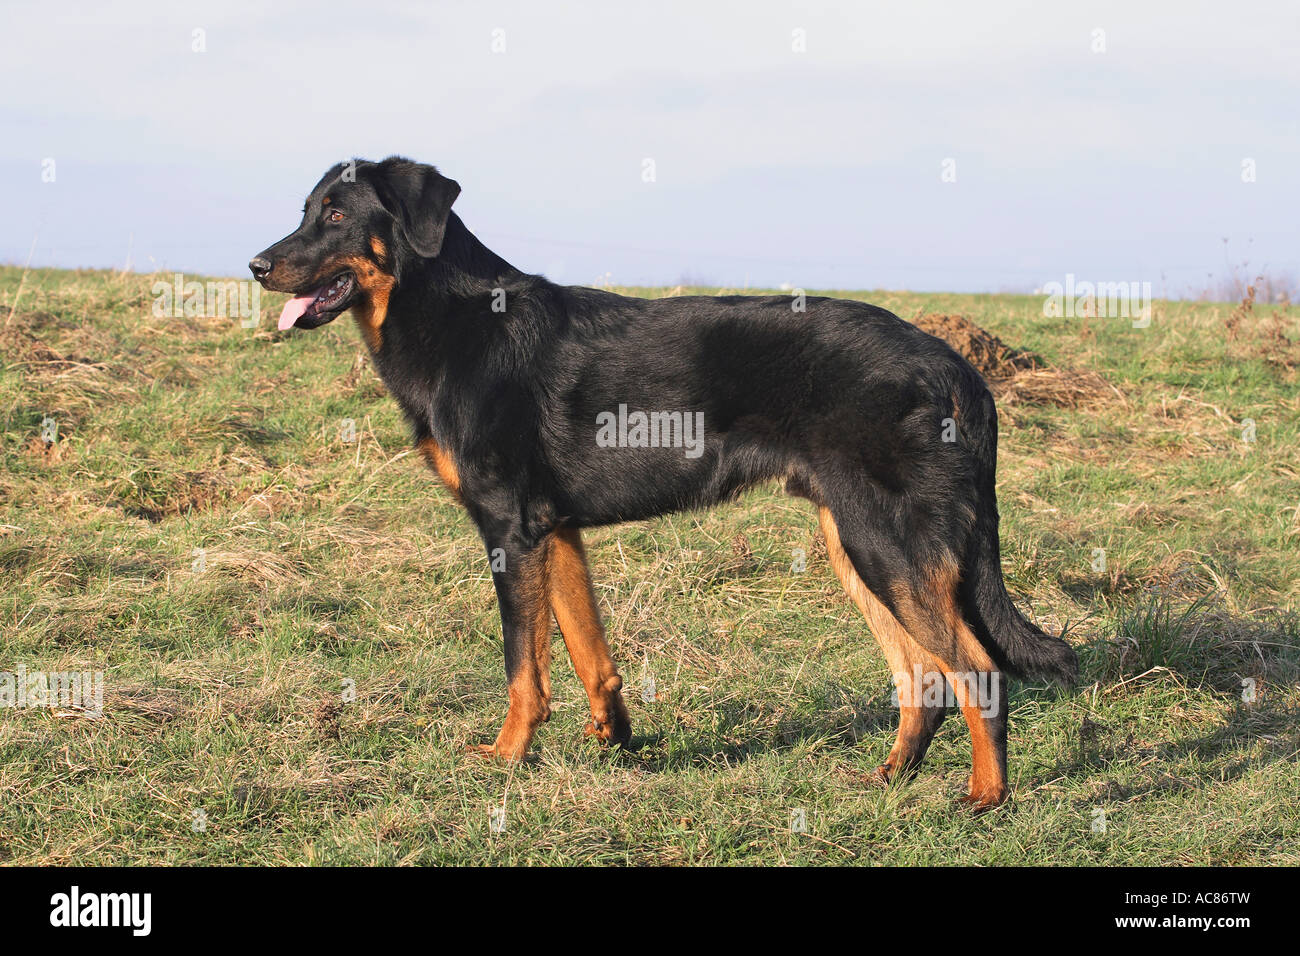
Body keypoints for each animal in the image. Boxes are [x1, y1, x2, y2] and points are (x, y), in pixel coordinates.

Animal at [245, 155, 1076, 806]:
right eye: (304, 211)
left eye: (337, 215)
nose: (255, 266)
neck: (452, 317)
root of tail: (956, 366)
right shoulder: (556, 533)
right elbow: (590, 656)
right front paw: (615, 743)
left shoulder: (510, 531)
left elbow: (523, 668)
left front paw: (508, 758)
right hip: (858, 544)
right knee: (923, 678)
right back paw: (890, 778)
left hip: (888, 547)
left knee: (975, 669)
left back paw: (986, 797)